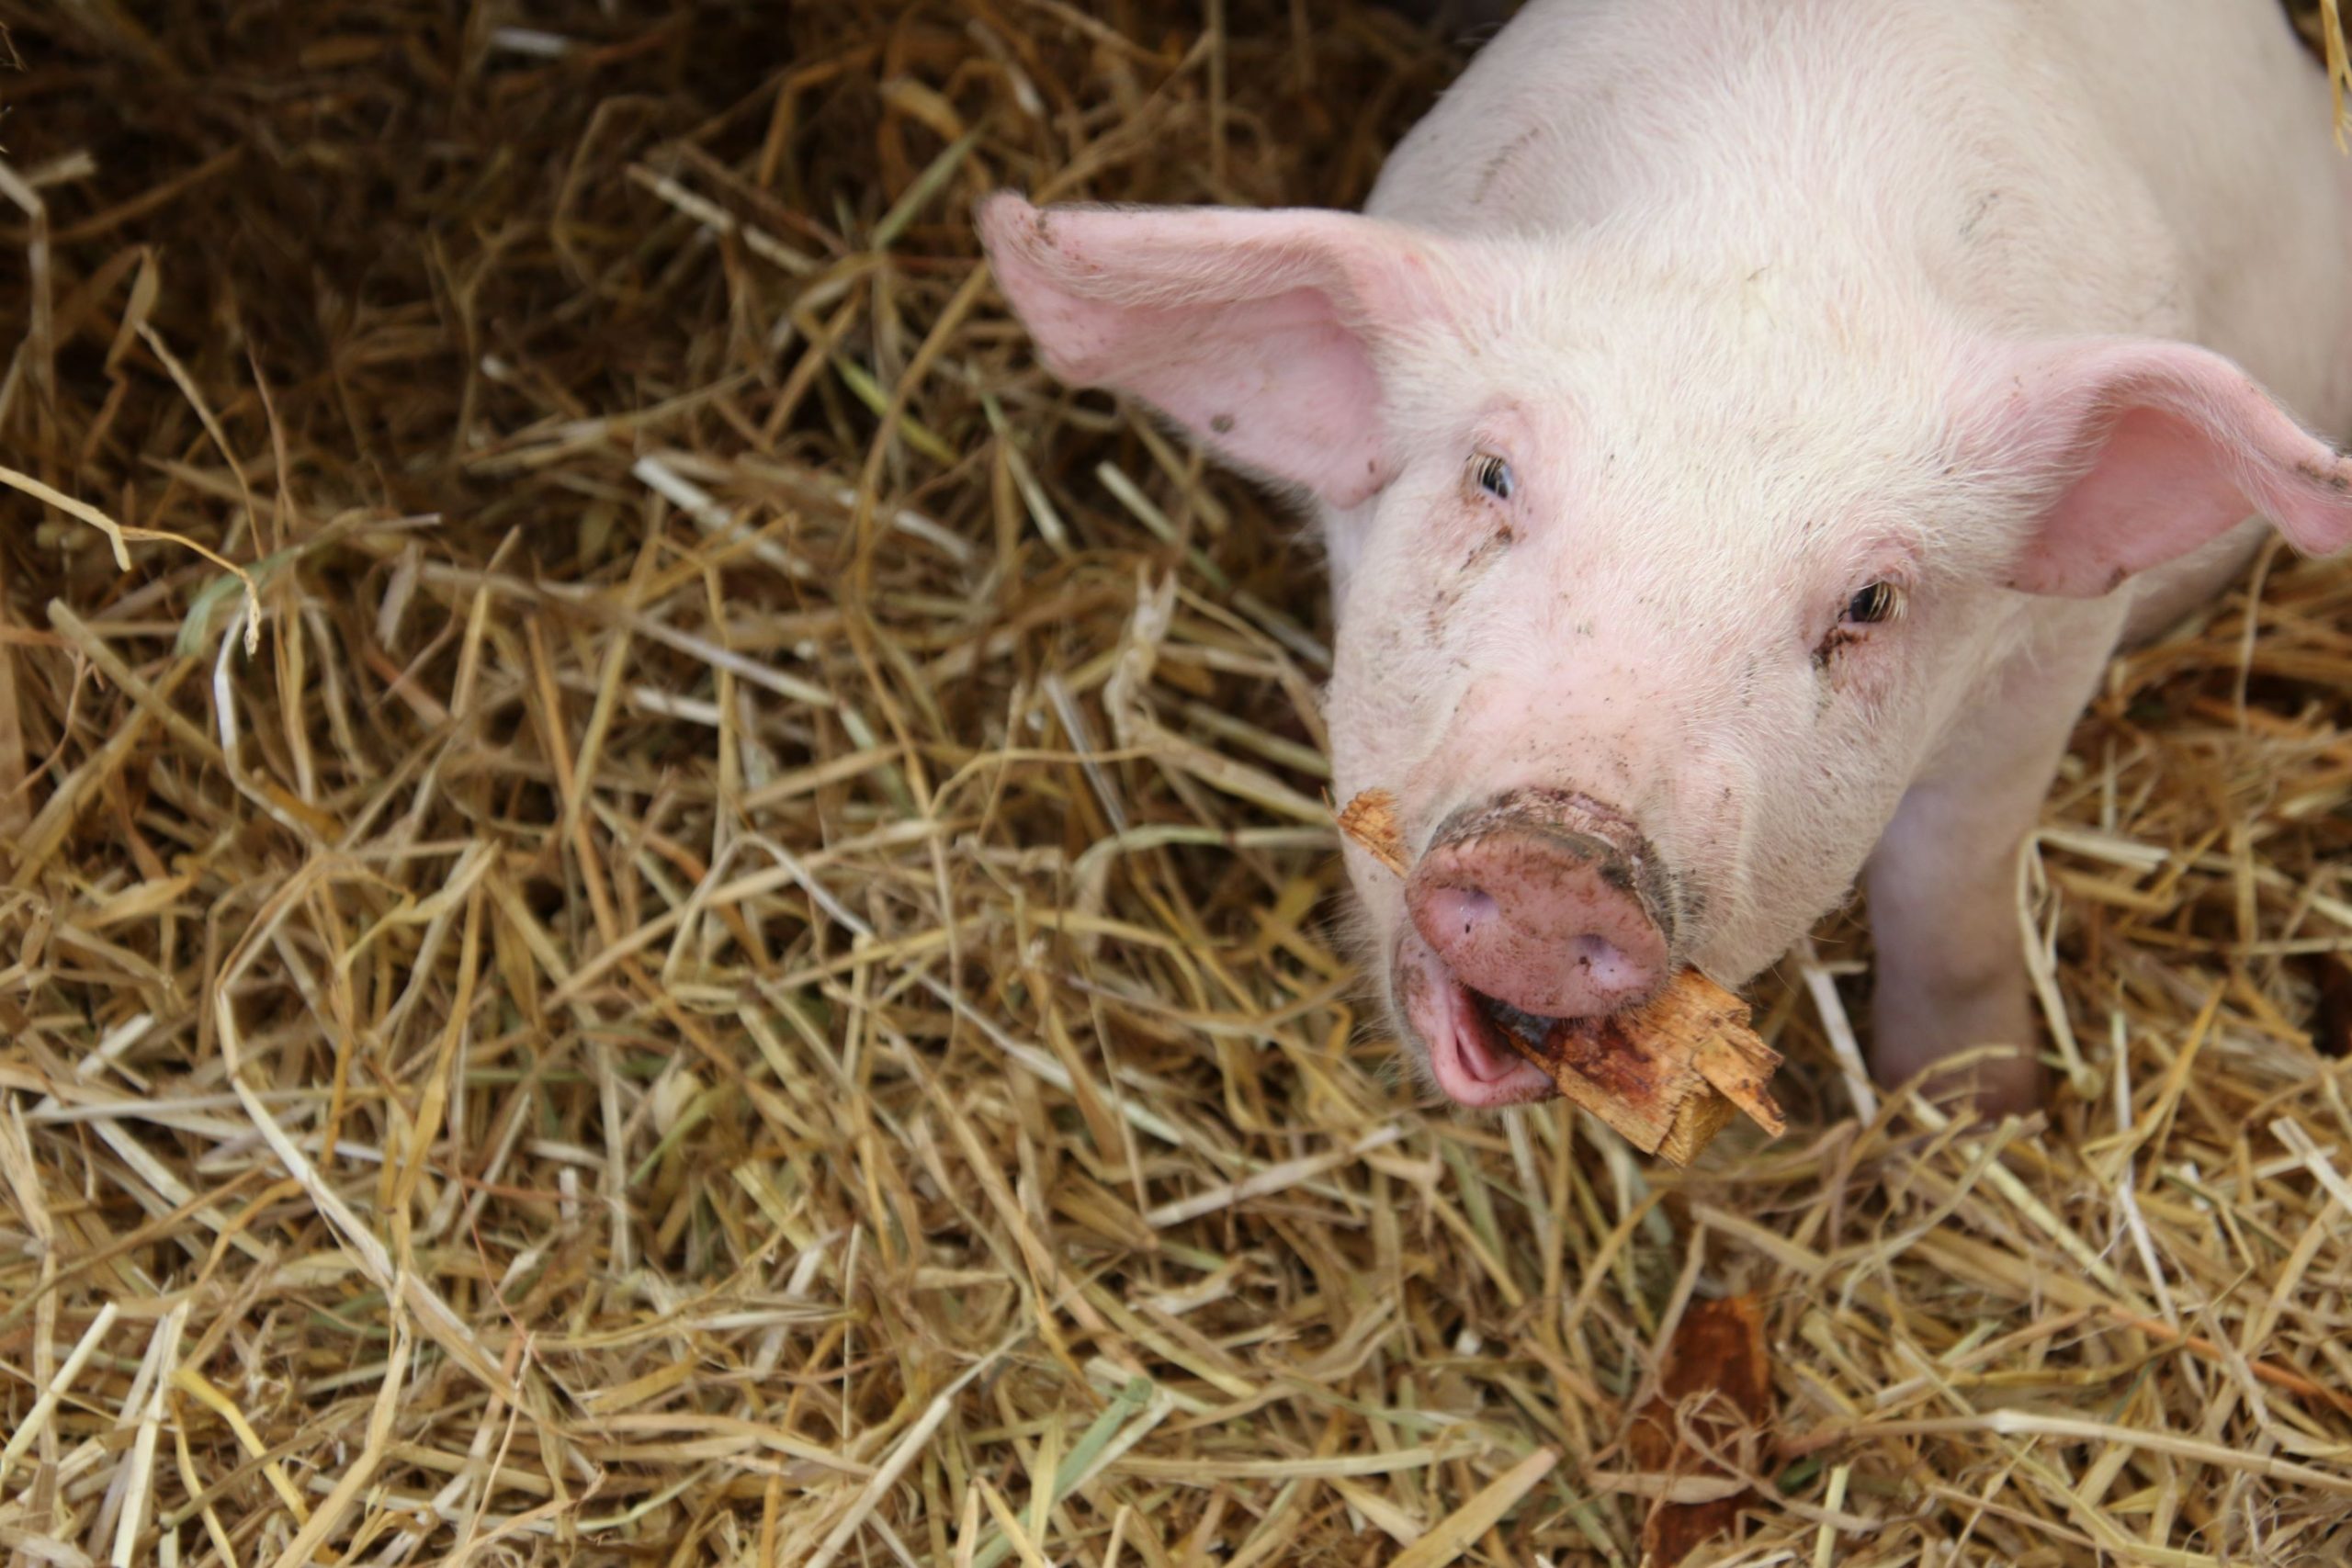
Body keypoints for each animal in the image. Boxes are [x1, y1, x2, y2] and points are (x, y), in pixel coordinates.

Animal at [973, 6, 2352, 1123]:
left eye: (1871, 600)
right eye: (1493, 477)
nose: (1554, 858)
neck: (1780, 199)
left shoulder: (2051, 658)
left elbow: (1952, 876)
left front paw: (1975, 1117)